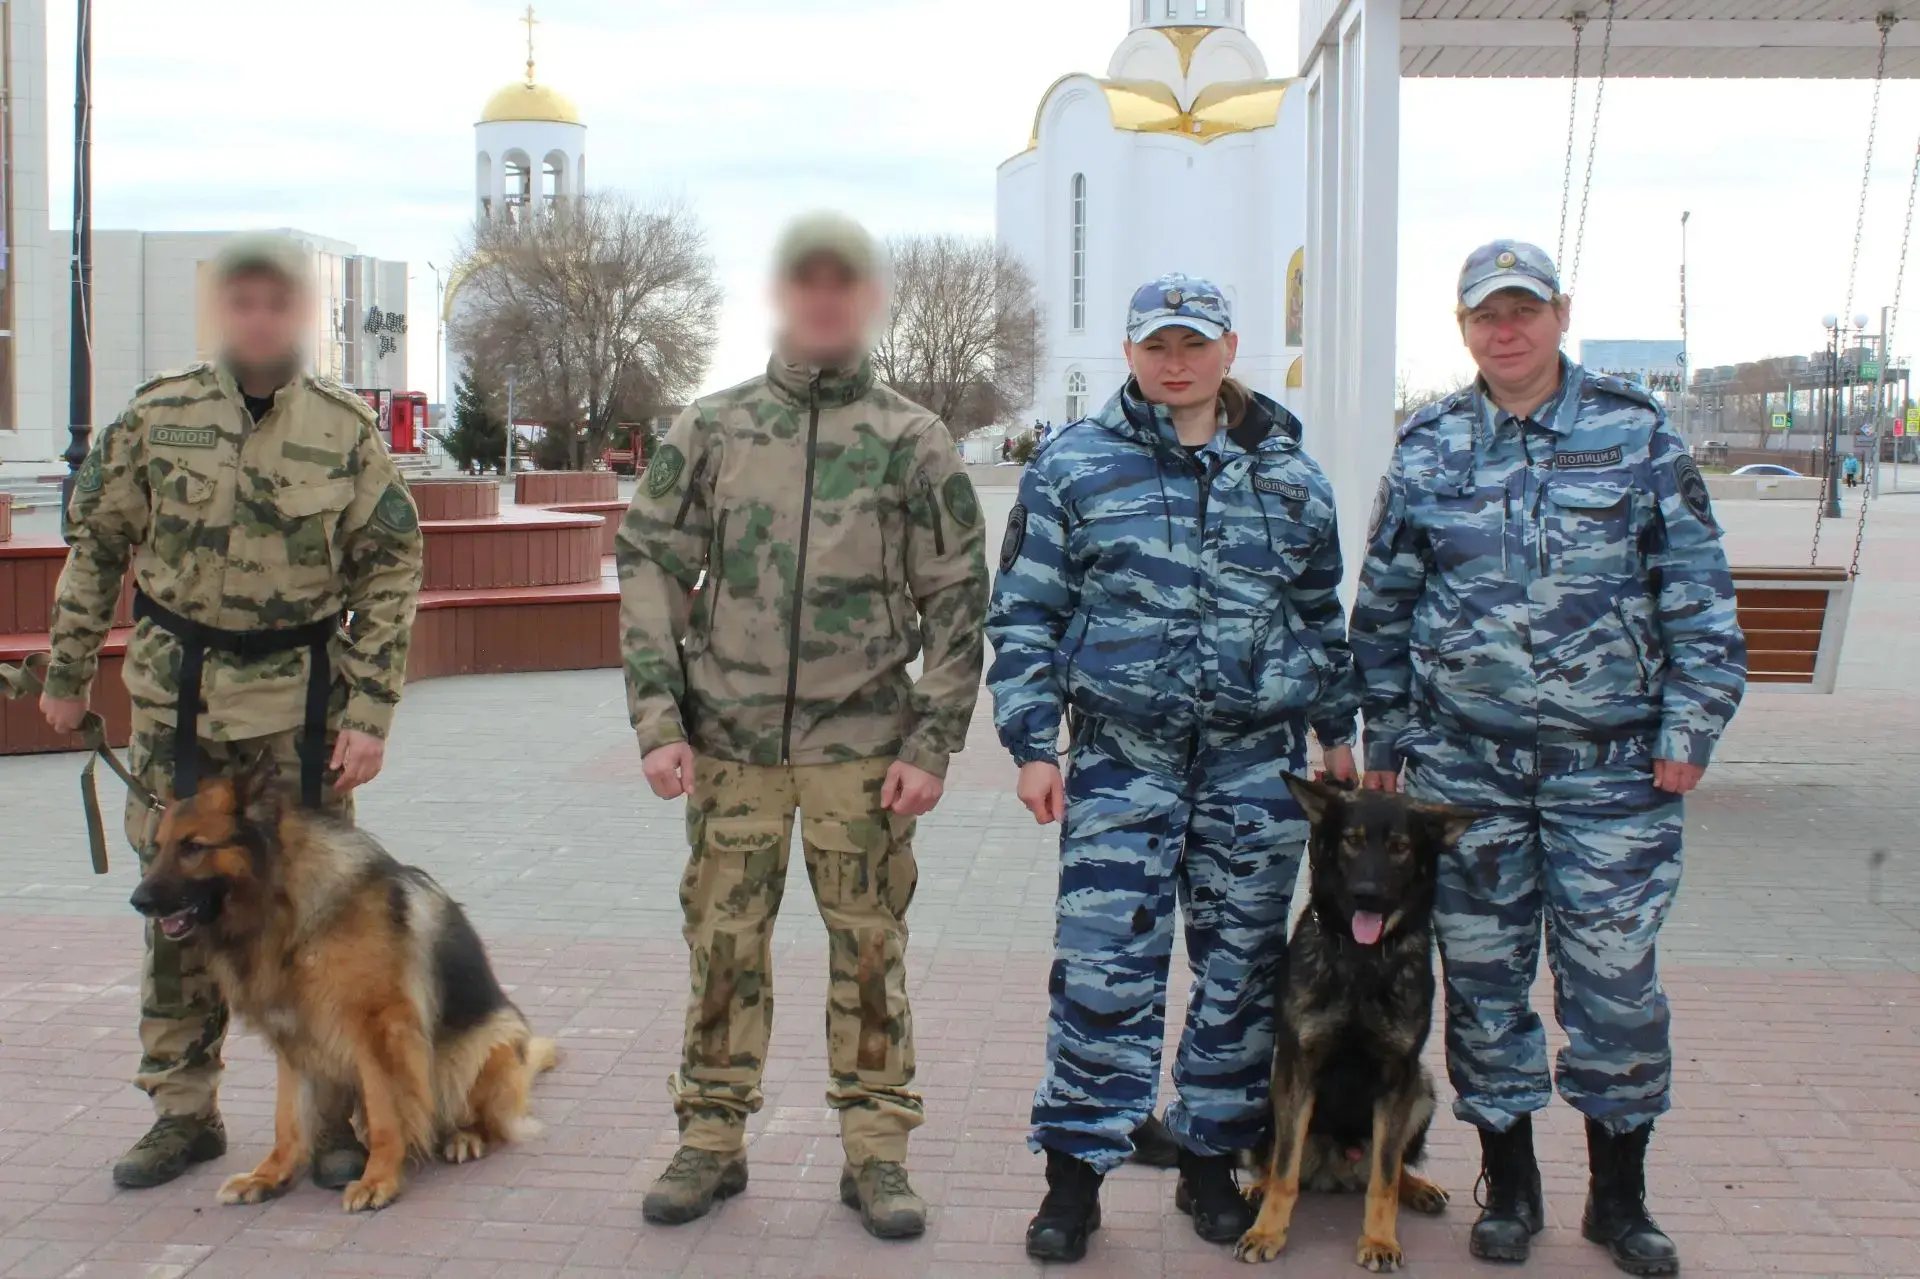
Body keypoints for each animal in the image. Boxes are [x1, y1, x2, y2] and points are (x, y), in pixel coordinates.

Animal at [129, 751, 557, 1213]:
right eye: (158, 848)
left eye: (193, 847)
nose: (137, 901)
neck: (285, 907)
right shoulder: (292, 1036)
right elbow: (287, 1119)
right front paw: (269, 1175)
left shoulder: (381, 1033)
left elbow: (387, 1114)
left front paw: (379, 1180)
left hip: (484, 1047)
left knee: (486, 1119)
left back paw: (465, 1136)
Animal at [1235, 775, 1477, 1272]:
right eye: (1352, 841)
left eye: (1401, 847)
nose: (1367, 893)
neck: (1363, 962)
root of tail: (1337, 1169)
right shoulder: (1298, 1069)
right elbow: (1285, 1170)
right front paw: (1267, 1231)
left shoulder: (1396, 1077)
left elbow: (1384, 1181)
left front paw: (1380, 1240)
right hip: (1270, 1086)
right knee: (1275, 1160)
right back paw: (1258, 1187)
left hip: (1422, 1089)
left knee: (1393, 1167)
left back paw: (1419, 1188)